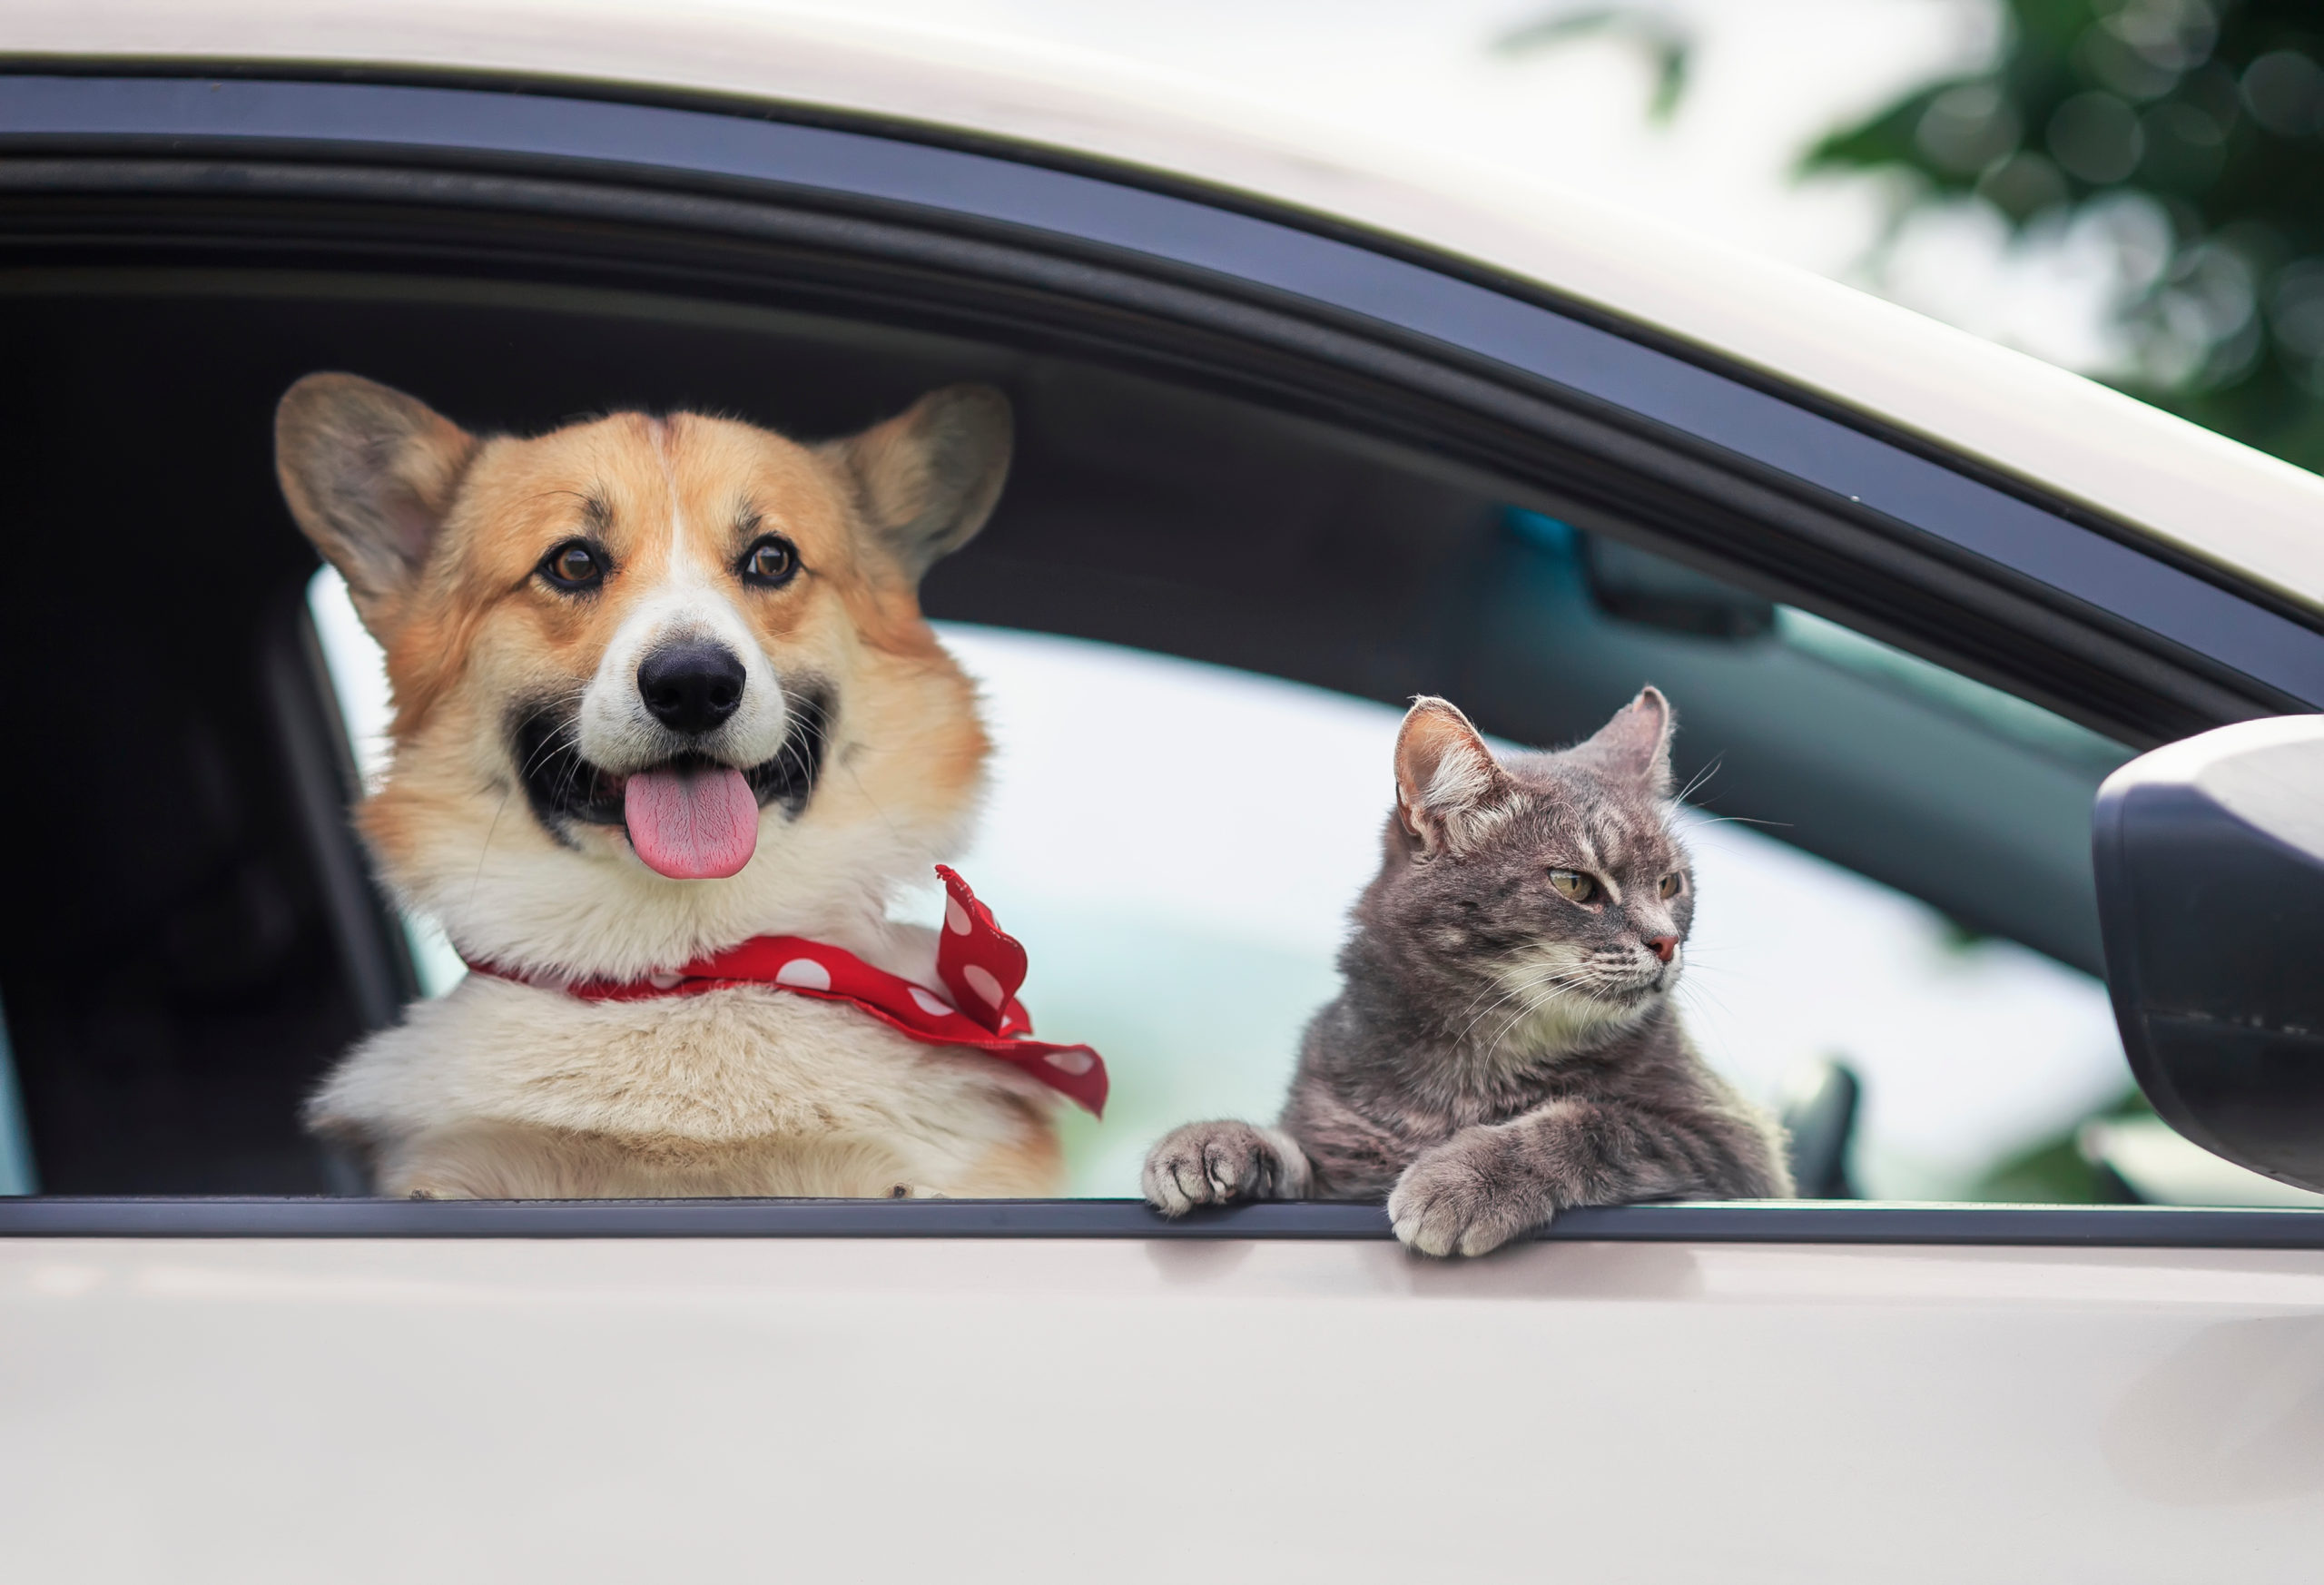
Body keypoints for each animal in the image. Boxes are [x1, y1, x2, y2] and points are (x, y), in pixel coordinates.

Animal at [1147, 683, 1794, 1255]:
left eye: (1669, 884)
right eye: (1574, 883)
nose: (1666, 941)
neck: (1474, 1062)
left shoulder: (1735, 1148)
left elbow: (1598, 1123)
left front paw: (1466, 1179)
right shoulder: (1337, 1158)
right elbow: (1295, 1156)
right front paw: (1215, 1141)